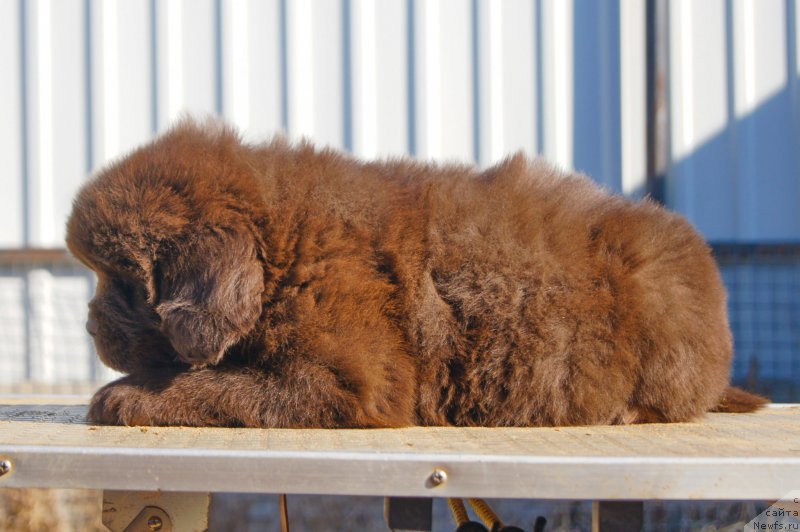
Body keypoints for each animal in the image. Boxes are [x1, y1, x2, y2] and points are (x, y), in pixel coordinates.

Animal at [65, 119, 764, 428]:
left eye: (123, 282)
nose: (89, 329)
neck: (283, 246)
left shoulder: (353, 380)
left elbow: (220, 386)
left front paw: (124, 396)